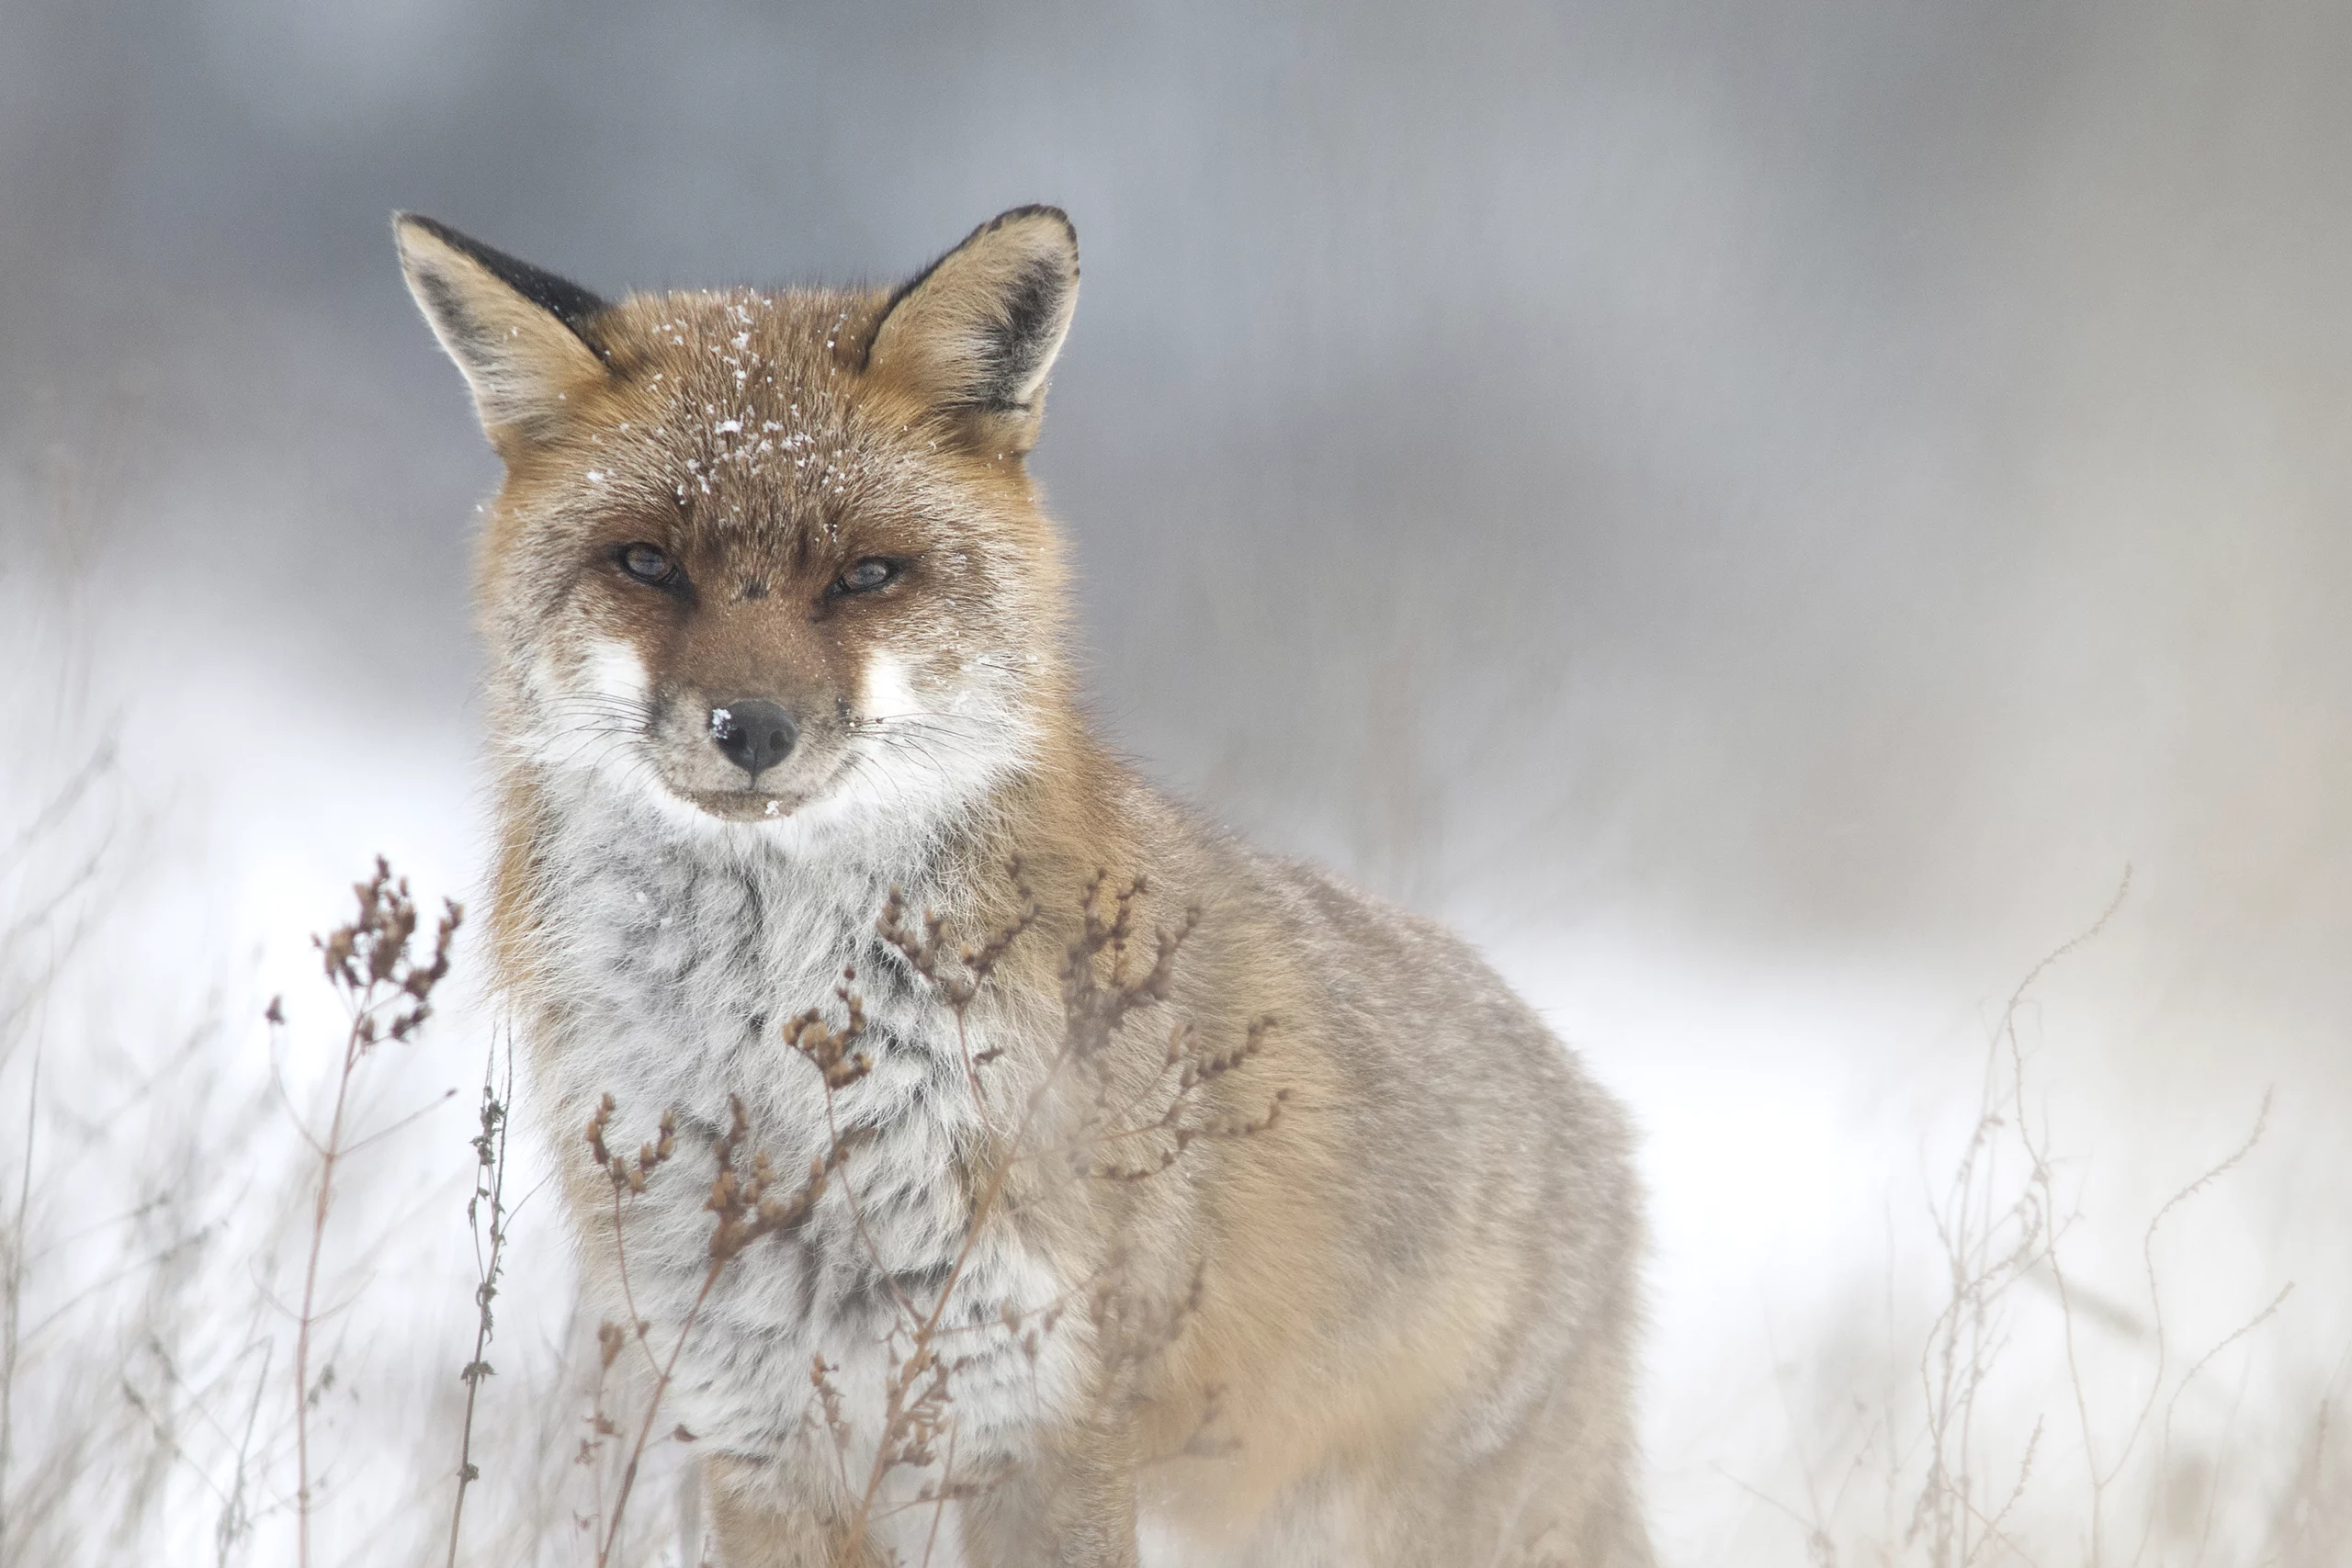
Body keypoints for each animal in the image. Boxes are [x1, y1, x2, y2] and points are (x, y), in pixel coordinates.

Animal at [396, 204, 1655, 1568]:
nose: (751, 729)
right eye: (646, 561)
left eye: (868, 574)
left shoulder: (1036, 1417)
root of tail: (1598, 1118)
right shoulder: (762, 1424)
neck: (785, 1079)